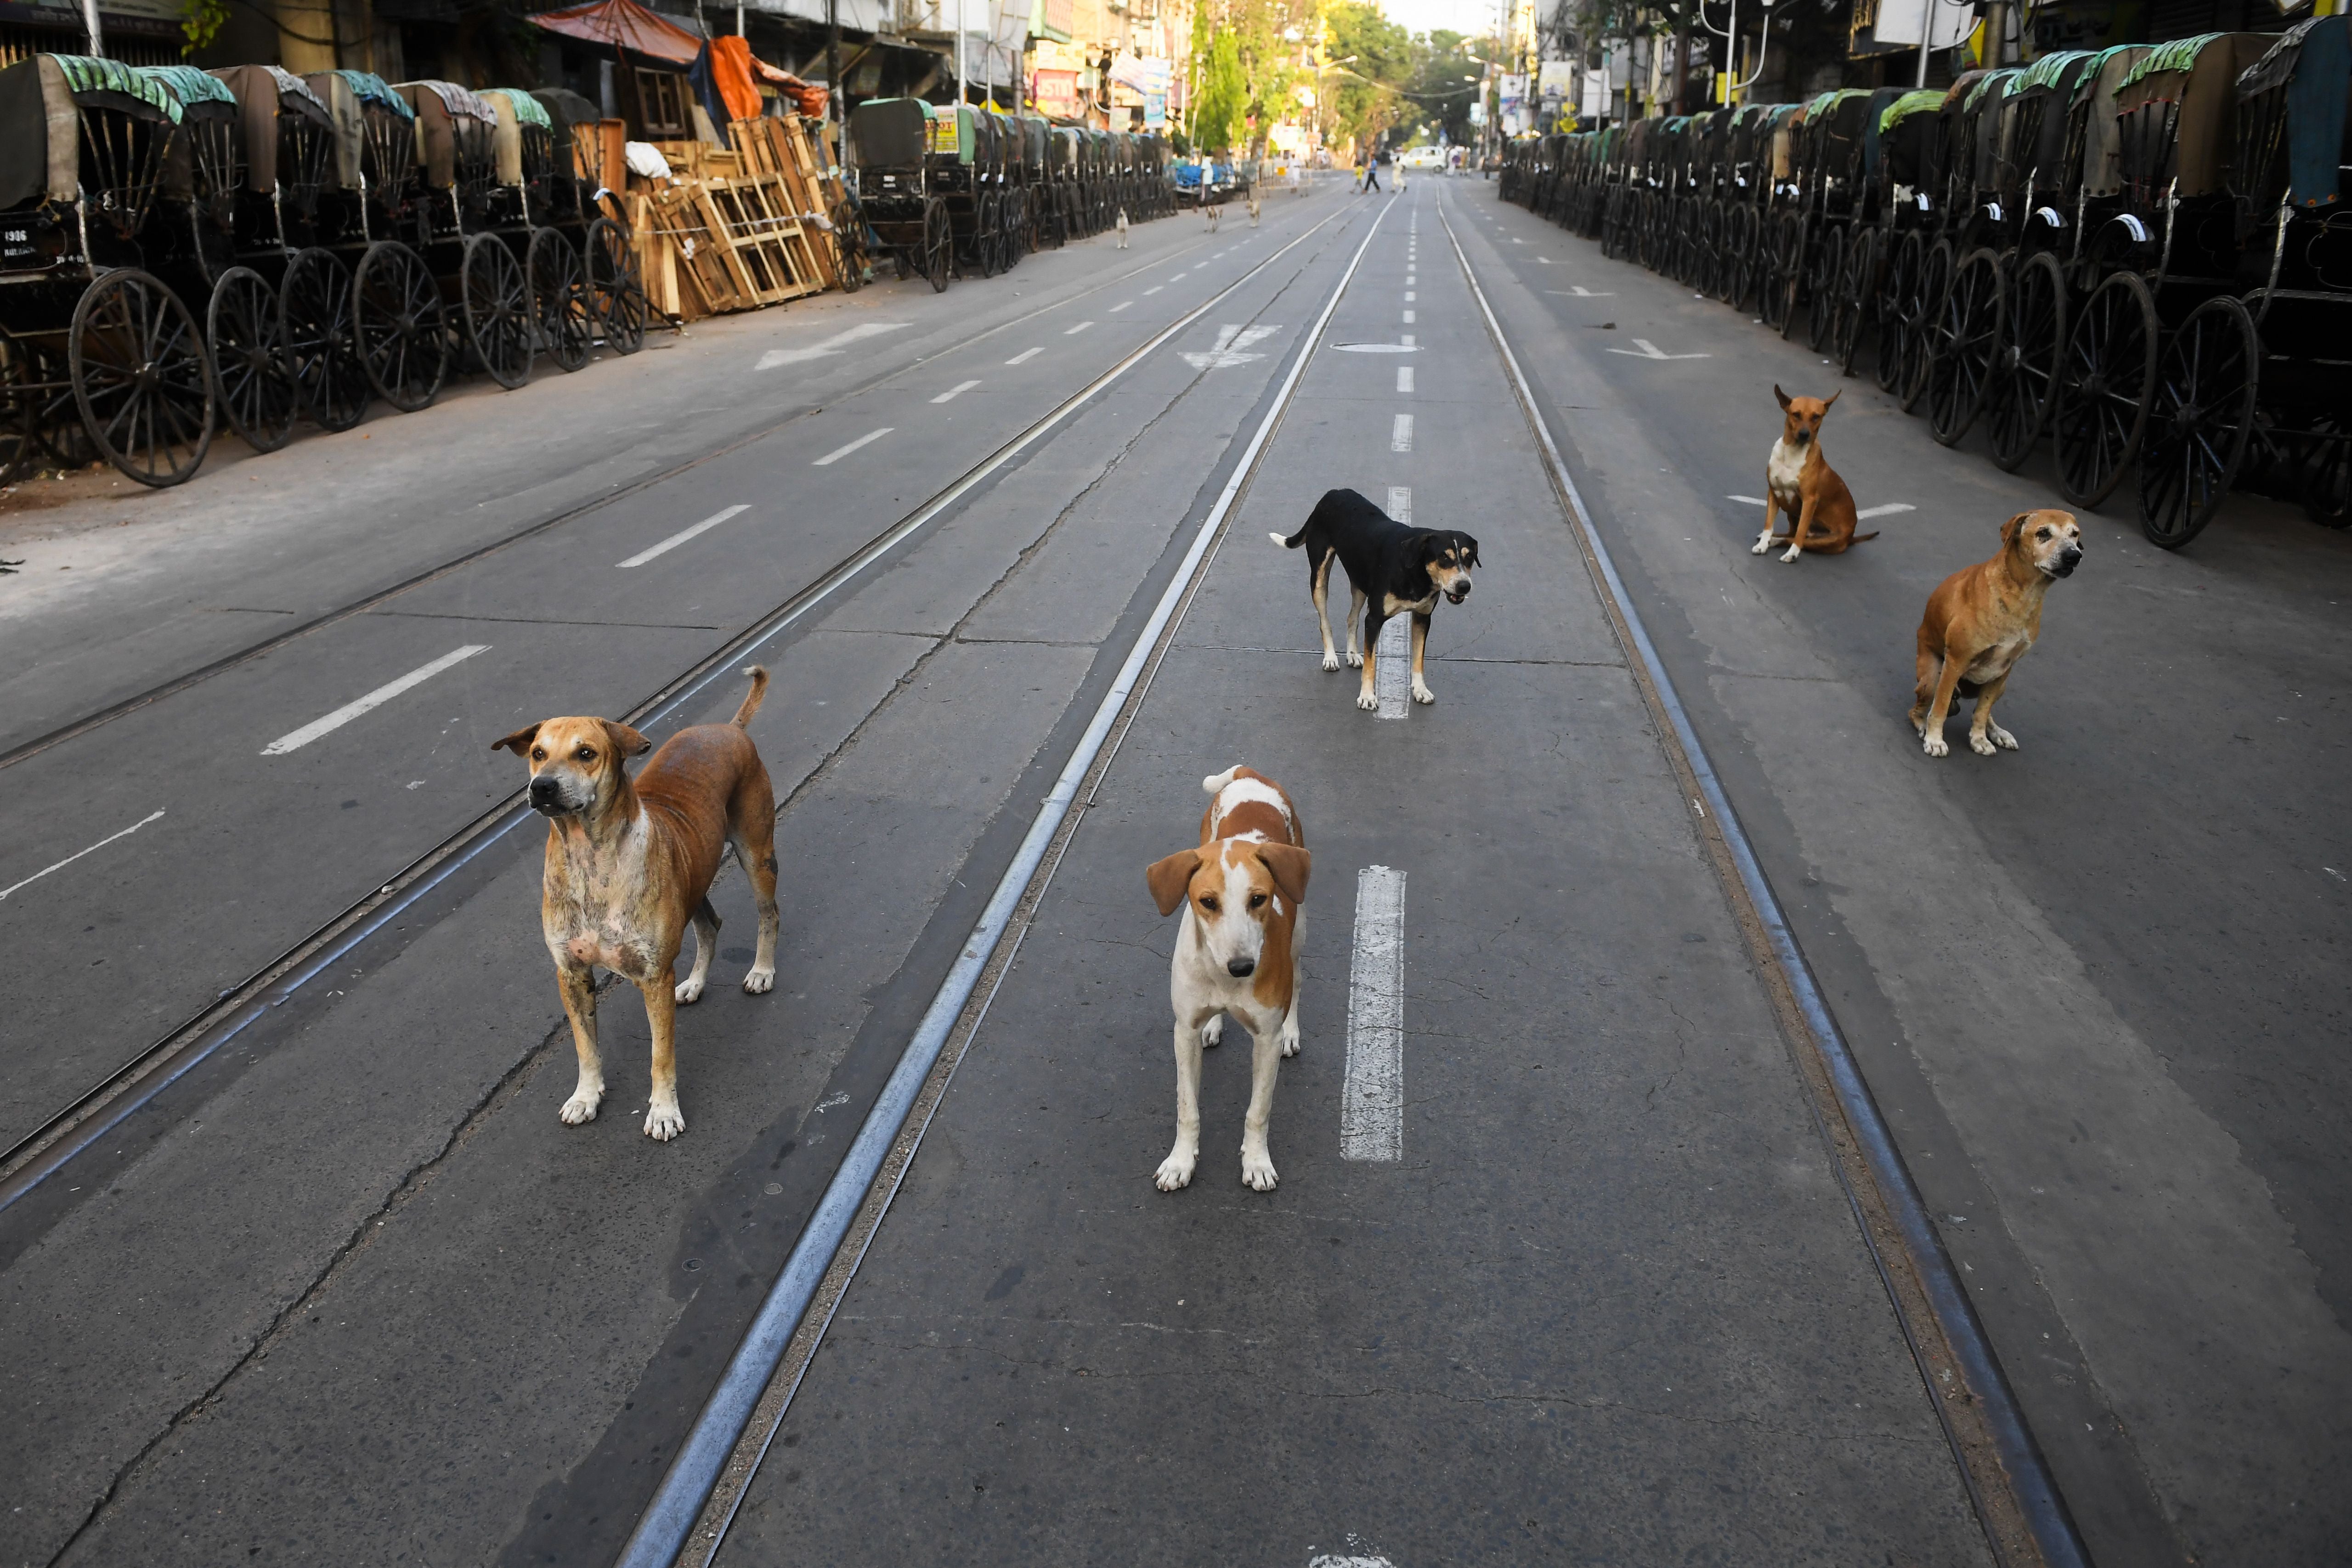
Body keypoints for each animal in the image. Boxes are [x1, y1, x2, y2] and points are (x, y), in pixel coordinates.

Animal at [492, 668, 786, 1142]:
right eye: (538, 753)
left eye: (587, 753)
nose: (543, 786)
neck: (589, 859)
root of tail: (730, 728)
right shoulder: (571, 974)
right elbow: (586, 1046)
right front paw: (585, 1097)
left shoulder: (654, 977)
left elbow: (661, 1055)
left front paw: (664, 1111)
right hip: (694, 875)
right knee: (710, 925)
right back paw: (695, 983)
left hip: (756, 854)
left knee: (768, 913)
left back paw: (761, 971)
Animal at [1148, 766, 1317, 1194]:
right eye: (1207, 902)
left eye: (1259, 899)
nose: (1241, 967)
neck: (1224, 983)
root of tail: (1250, 773)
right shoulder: (1184, 1031)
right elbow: (1186, 1107)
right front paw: (1180, 1161)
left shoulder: (1266, 1040)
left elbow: (1258, 1111)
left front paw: (1257, 1162)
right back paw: (1215, 1024)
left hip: (1299, 928)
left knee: (1299, 981)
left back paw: (1293, 1030)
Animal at [1279, 487, 1477, 714]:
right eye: (1444, 557)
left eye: (1470, 557)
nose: (1464, 586)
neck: (1414, 569)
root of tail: (1334, 492)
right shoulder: (1374, 619)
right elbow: (1371, 663)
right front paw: (1367, 697)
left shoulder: (1423, 618)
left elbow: (1418, 659)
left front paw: (1421, 690)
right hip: (1320, 578)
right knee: (1324, 621)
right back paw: (1330, 658)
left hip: (1359, 583)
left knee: (1352, 618)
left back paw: (1353, 654)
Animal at [1759, 385, 1882, 564]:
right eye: (1796, 414)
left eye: (1816, 417)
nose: (1804, 434)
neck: (1792, 453)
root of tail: (1851, 537)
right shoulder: (1774, 493)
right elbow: (1768, 524)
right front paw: (1762, 544)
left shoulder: (1810, 501)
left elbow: (1801, 533)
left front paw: (1792, 554)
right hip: (1790, 509)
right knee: (1791, 533)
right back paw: (1772, 539)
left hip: (1827, 540)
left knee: (1798, 538)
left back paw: (1779, 542)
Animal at [1900, 515, 2088, 761]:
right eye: (2043, 533)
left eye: (2075, 534)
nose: (2074, 555)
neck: (2023, 594)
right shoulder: (1955, 662)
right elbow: (1940, 708)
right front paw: (1935, 739)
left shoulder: (2004, 668)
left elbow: (1982, 711)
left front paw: (1979, 738)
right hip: (1932, 679)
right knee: (1920, 707)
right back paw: (1923, 723)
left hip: (2001, 686)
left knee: (1983, 709)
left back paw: (1997, 732)